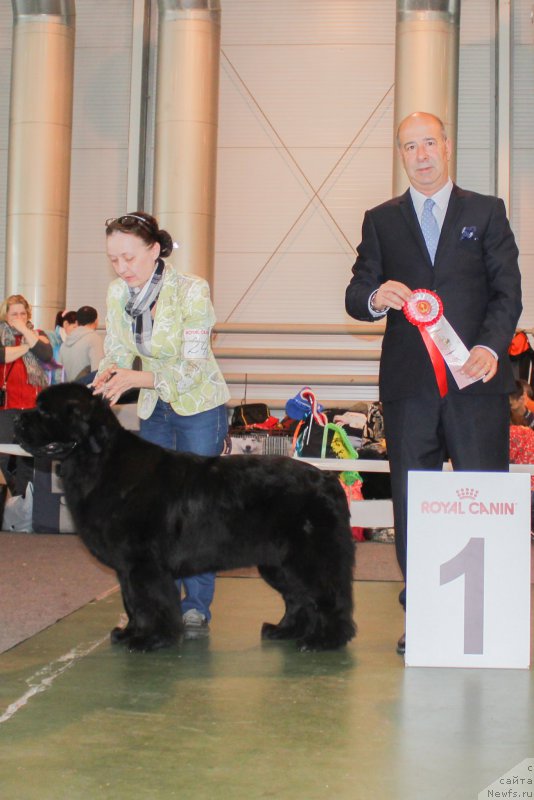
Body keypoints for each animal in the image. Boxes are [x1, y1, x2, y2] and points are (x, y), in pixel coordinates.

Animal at [16, 384, 358, 652]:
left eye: (45, 412)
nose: (17, 418)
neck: (99, 462)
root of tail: (329, 480)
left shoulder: (144, 563)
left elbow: (149, 601)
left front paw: (150, 639)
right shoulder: (128, 567)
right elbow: (131, 600)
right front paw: (130, 633)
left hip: (308, 557)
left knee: (327, 596)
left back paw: (325, 640)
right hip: (277, 562)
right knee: (298, 598)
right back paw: (285, 630)